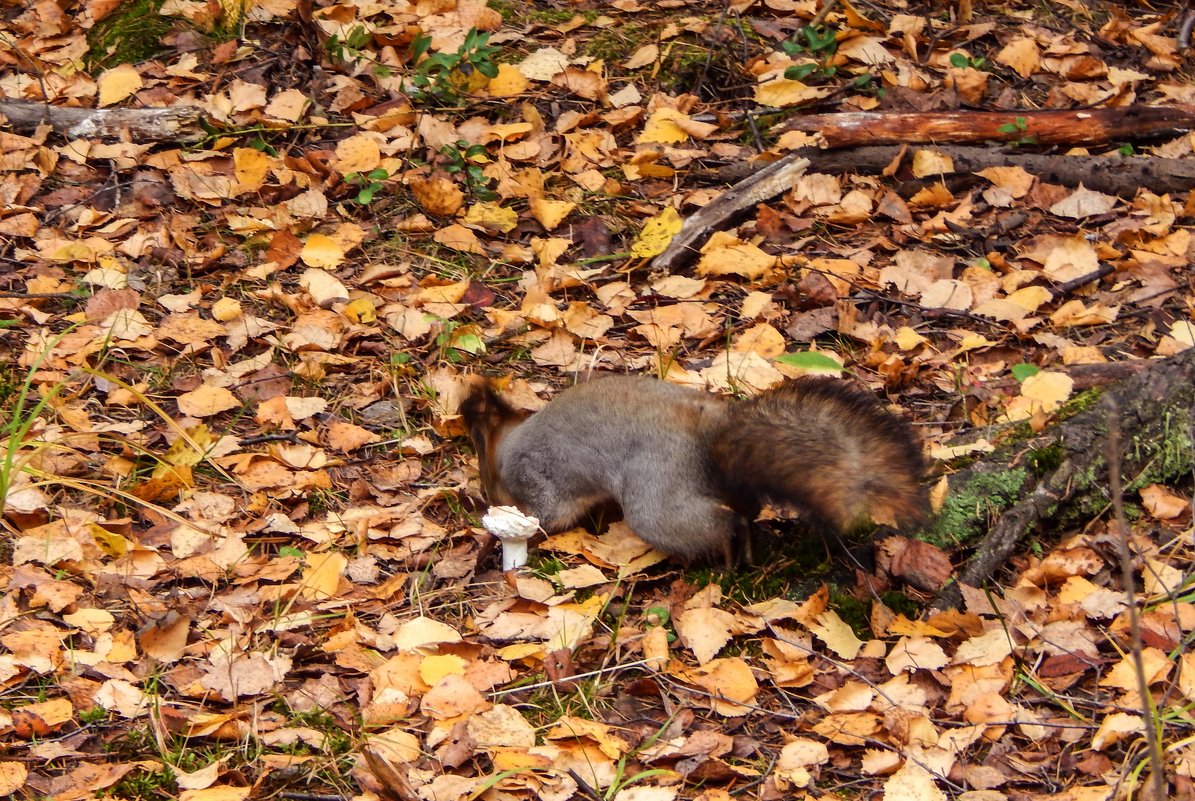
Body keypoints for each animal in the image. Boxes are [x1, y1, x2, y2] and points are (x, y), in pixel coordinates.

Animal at [456, 375, 922, 569]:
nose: (491, 499)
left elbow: (549, 516)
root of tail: (710, 431)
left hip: (658, 493)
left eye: (491, 486)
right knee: (745, 510)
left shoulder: (542, 477)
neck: (509, 444)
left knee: (717, 524)